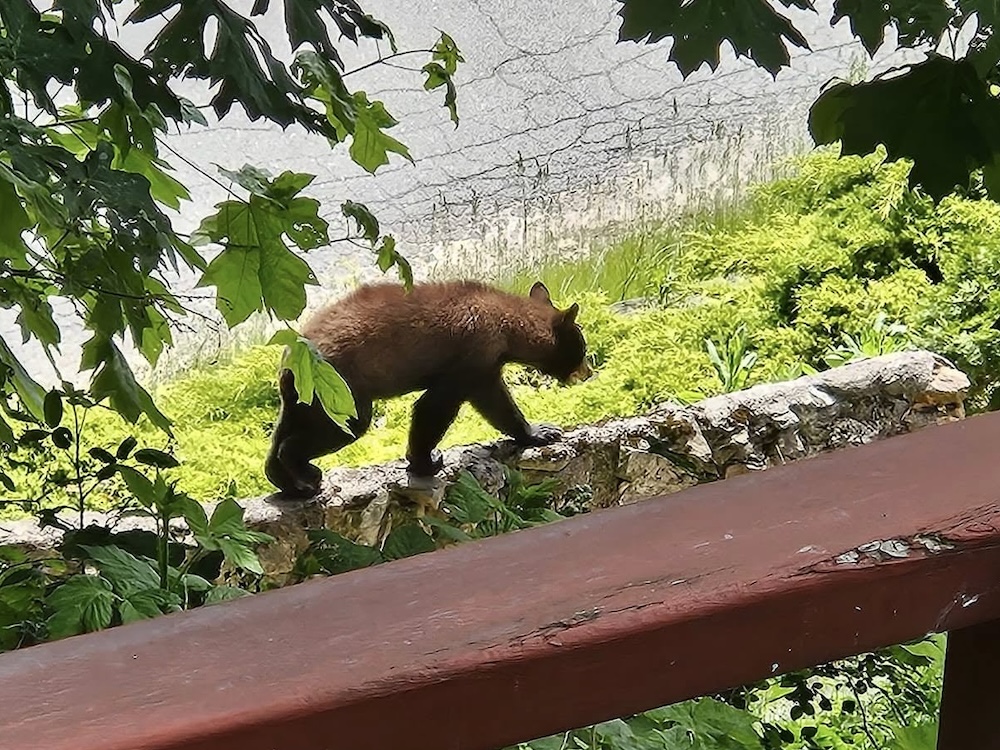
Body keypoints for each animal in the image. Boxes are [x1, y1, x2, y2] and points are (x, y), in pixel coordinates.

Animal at [264, 280, 591, 498]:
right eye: (583, 348)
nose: (589, 372)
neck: (507, 327)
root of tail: (291, 356)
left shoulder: (483, 364)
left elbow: (489, 402)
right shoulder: (472, 356)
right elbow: (441, 406)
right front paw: (427, 461)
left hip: (301, 398)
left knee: (285, 429)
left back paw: (289, 482)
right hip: (339, 389)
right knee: (343, 427)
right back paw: (304, 474)